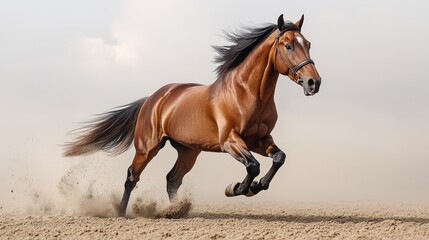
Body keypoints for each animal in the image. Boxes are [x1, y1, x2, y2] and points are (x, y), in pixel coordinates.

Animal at [64, 15, 320, 218]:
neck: (247, 92)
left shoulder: (260, 140)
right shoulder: (230, 141)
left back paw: (175, 210)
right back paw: (120, 212)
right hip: (148, 147)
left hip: (188, 151)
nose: (313, 82)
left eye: (307, 43)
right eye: (288, 46)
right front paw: (237, 188)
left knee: (172, 179)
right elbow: (253, 166)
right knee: (132, 177)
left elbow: (279, 158)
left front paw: (255, 187)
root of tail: (152, 99)